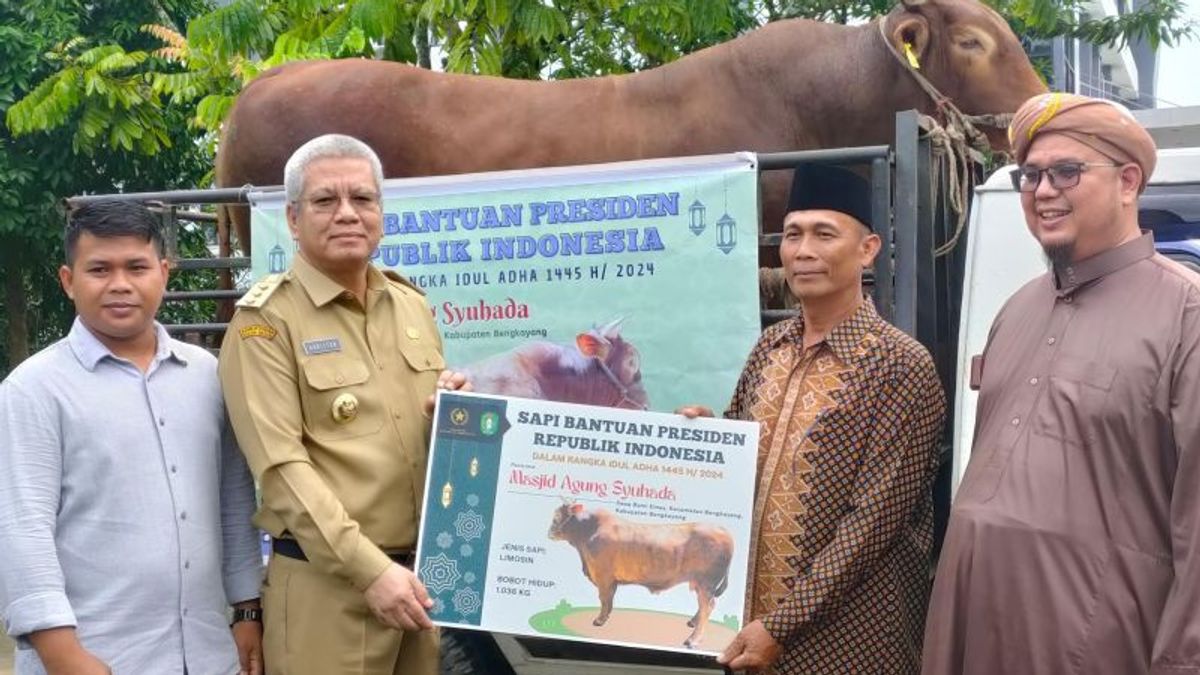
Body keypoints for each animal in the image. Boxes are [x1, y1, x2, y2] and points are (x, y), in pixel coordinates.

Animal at [547, 499, 729, 648]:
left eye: (558, 516)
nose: (549, 533)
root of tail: (723, 531)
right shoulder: (611, 580)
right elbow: (609, 600)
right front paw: (606, 617)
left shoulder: (603, 576)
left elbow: (604, 599)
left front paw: (599, 620)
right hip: (701, 584)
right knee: (704, 606)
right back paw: (692, 622)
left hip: (706, 583)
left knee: (707, 606)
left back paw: (693, 640)